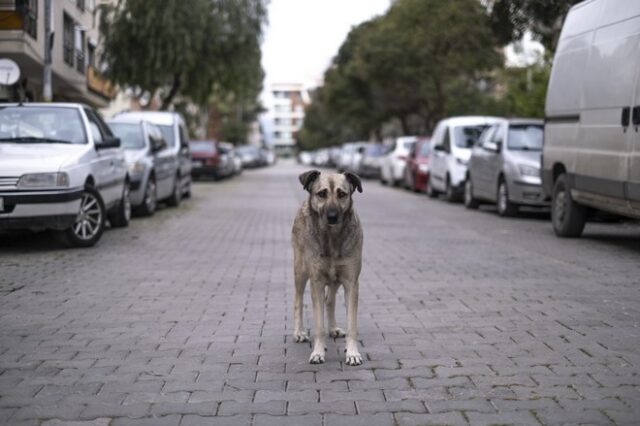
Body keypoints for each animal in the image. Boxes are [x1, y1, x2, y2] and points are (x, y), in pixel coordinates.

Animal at [292, 170, 362, 366]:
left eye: (342, 194)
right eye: (321, 193)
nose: (332, 216)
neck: (332, 237)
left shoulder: (351, 282)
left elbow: (352, 324)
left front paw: (352, 353)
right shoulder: (316, 282)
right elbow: (318, 325)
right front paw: (318, 352)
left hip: (335, 279)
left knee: (329, 301)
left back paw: (333, 328)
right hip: (300, 271)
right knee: (298, 300)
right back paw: (298, 333)